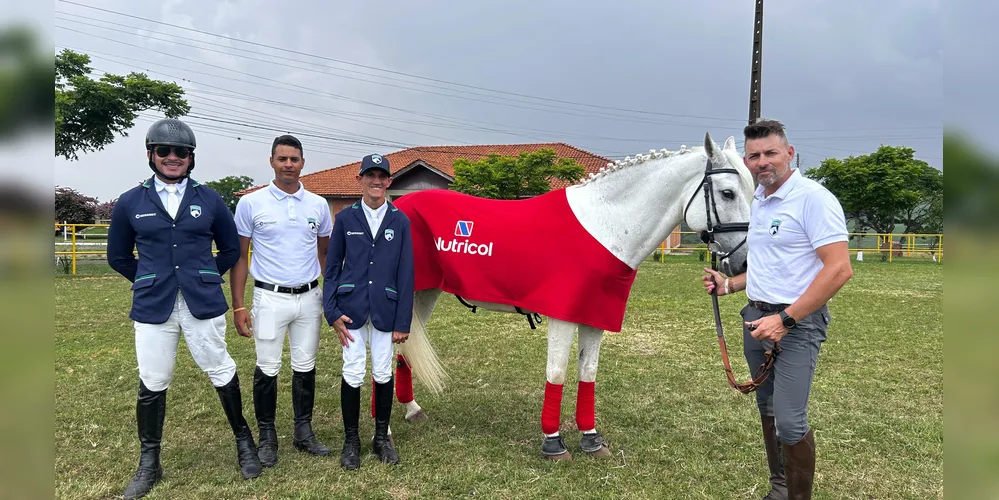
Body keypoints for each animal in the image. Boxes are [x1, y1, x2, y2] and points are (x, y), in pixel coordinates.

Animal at [388, 131, 752, 458]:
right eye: (728, 193)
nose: (744, 262)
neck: (604, 226)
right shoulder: (562, 317)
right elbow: (557, 372)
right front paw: (552, 442)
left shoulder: (594, 317)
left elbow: (588, 373)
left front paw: (591, 438)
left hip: (424, 294)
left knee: (403, 349)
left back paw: (412, 409)